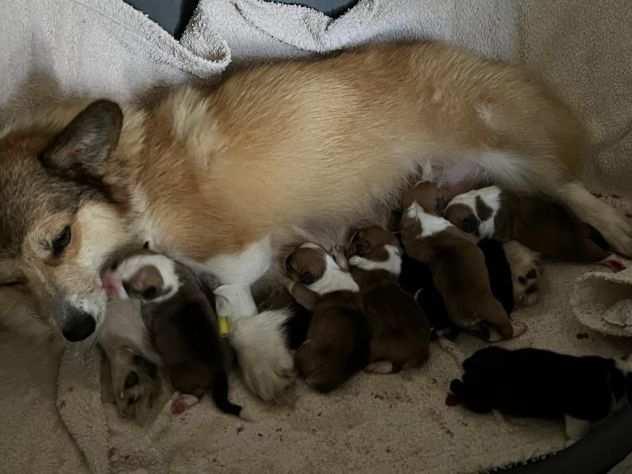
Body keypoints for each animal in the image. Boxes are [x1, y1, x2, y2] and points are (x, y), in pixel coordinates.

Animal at [282, 244, 368, 392]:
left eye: (291, 266)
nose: (285, 258)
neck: (328, 271)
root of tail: (320, 382)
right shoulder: (346, 273)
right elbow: (344, 265)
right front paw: (338, 254)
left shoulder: (308, 297)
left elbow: (295, 286)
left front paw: (286, 280)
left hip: (304, 347)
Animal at [400, 181, 524, 340]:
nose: (427, 181)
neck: (419, 211)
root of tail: (470, 314)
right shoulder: (470, 237)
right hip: (495, 308)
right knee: (507, 330)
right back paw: (518, 329)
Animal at [444, 185, 628, 270]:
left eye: (448, 218)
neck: (478, 207)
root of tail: (583, 230)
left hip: (583, 251)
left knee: (604, 255)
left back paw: (615, 262)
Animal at [446, 346, 632, 442]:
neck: (616, 378)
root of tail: (470, 368)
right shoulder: (577, 418)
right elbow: (575, 434)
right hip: (479, 400)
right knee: (458, 387)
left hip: (489, 353)